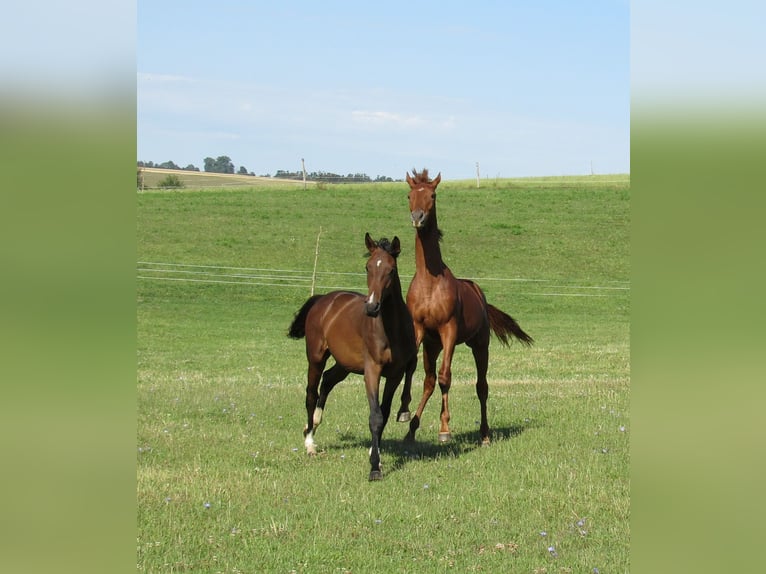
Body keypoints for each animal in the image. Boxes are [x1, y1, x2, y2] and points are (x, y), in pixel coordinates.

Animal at [288, 233, 417, 480]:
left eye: (391, 270)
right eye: (367, 267)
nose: (372, 307)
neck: (391, 329)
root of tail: (324, 299)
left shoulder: (395, 375)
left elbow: (385, 413)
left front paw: (375, 454)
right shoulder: (372, 371)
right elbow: (375, 416)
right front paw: (375, 467)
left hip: (344, 364)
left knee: (328, 380)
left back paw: (314, 423)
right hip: (316, 358)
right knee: (311, 393)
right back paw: (310, 442)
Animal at [398, 168, 534, 445]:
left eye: (433, 195)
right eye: (408, 195)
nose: (418, 218)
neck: (430, 282)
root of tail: (480, 296)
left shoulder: (449, 330)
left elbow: (446, 377)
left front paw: (444, 429)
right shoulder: (418, 328)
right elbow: (413, 367)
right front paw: (404, 413)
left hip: (480, 344)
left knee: (481, 386)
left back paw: (485, 435)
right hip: (433, 345)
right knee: (429, 381)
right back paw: (412, 430)